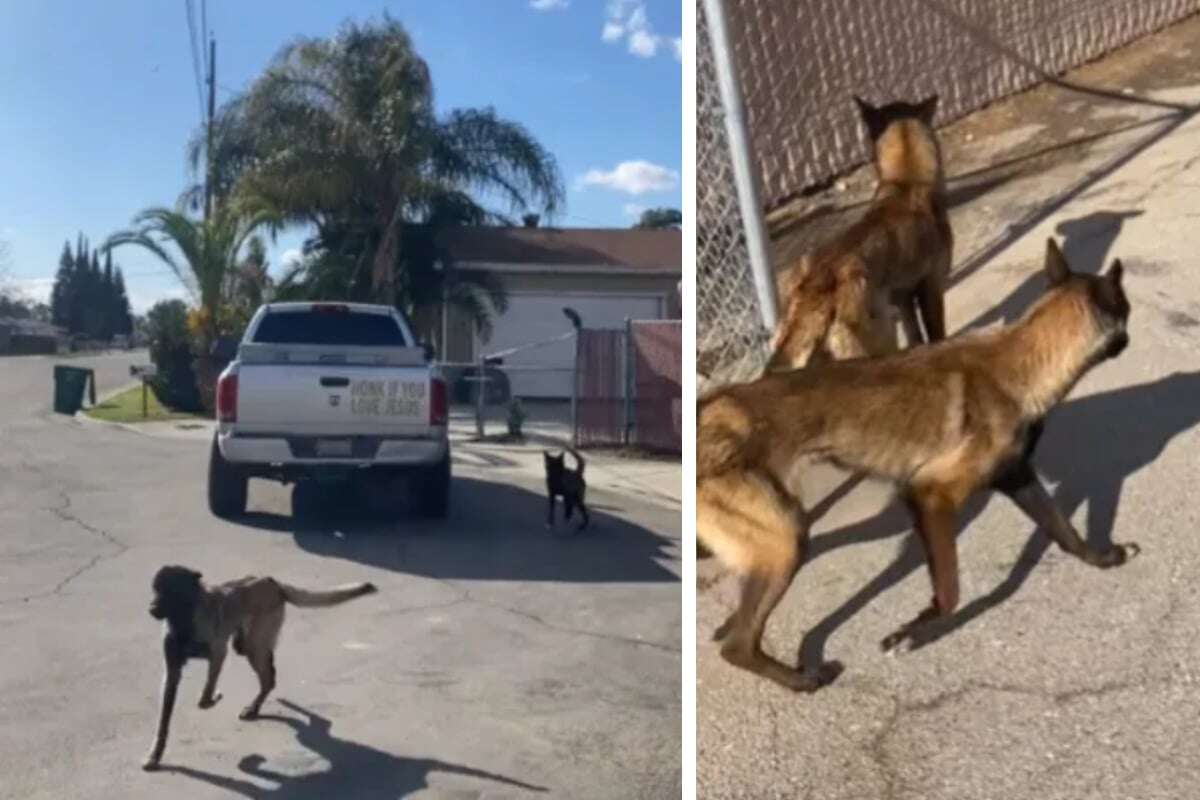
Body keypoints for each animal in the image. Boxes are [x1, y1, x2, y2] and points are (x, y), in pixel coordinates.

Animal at [145, 566, 379, 772]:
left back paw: (254, 707)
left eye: (172, 591)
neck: (184, 618)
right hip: (247, 644)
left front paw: (214, 697)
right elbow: (163, 718)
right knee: (269, 674)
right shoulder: (172, 671)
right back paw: (256, 707)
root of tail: (272, 582)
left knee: (269, 677)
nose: (151, 609)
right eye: (155, 590)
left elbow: (204, 697)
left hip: (253, 644)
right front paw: (155, 754)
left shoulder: (218, 653)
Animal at [696, 239, 1132, 695]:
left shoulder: (1018, 478)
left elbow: (1064, 531)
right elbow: (951, 591)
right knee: (738, 645)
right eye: (1127, 309)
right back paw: (801, 679)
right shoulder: (929, 496)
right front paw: (912, 632)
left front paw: (1102, 558)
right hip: (787, 540)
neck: (1021, 364)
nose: (1128, 340)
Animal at [768, 95, 955, 371]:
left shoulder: (903, 300)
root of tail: (818, 287)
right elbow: (937, 335)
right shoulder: (932, 288)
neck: (905, 184)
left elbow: (916, 338)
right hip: (881, 340)